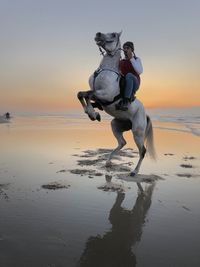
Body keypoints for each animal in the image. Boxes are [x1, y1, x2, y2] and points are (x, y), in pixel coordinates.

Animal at [77, 31, 155, 176]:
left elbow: (87, 94)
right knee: (122, 143)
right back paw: (108, 162)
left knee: (142, 151)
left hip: (137, 132)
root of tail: (145, 115)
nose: (98, 34)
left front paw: (92, 114)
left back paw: (134, 171)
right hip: (116, 125)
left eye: (113, 35)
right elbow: (82, 94)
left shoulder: (105, 95)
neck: (105, 70)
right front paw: (93, 114)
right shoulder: (98, 97)